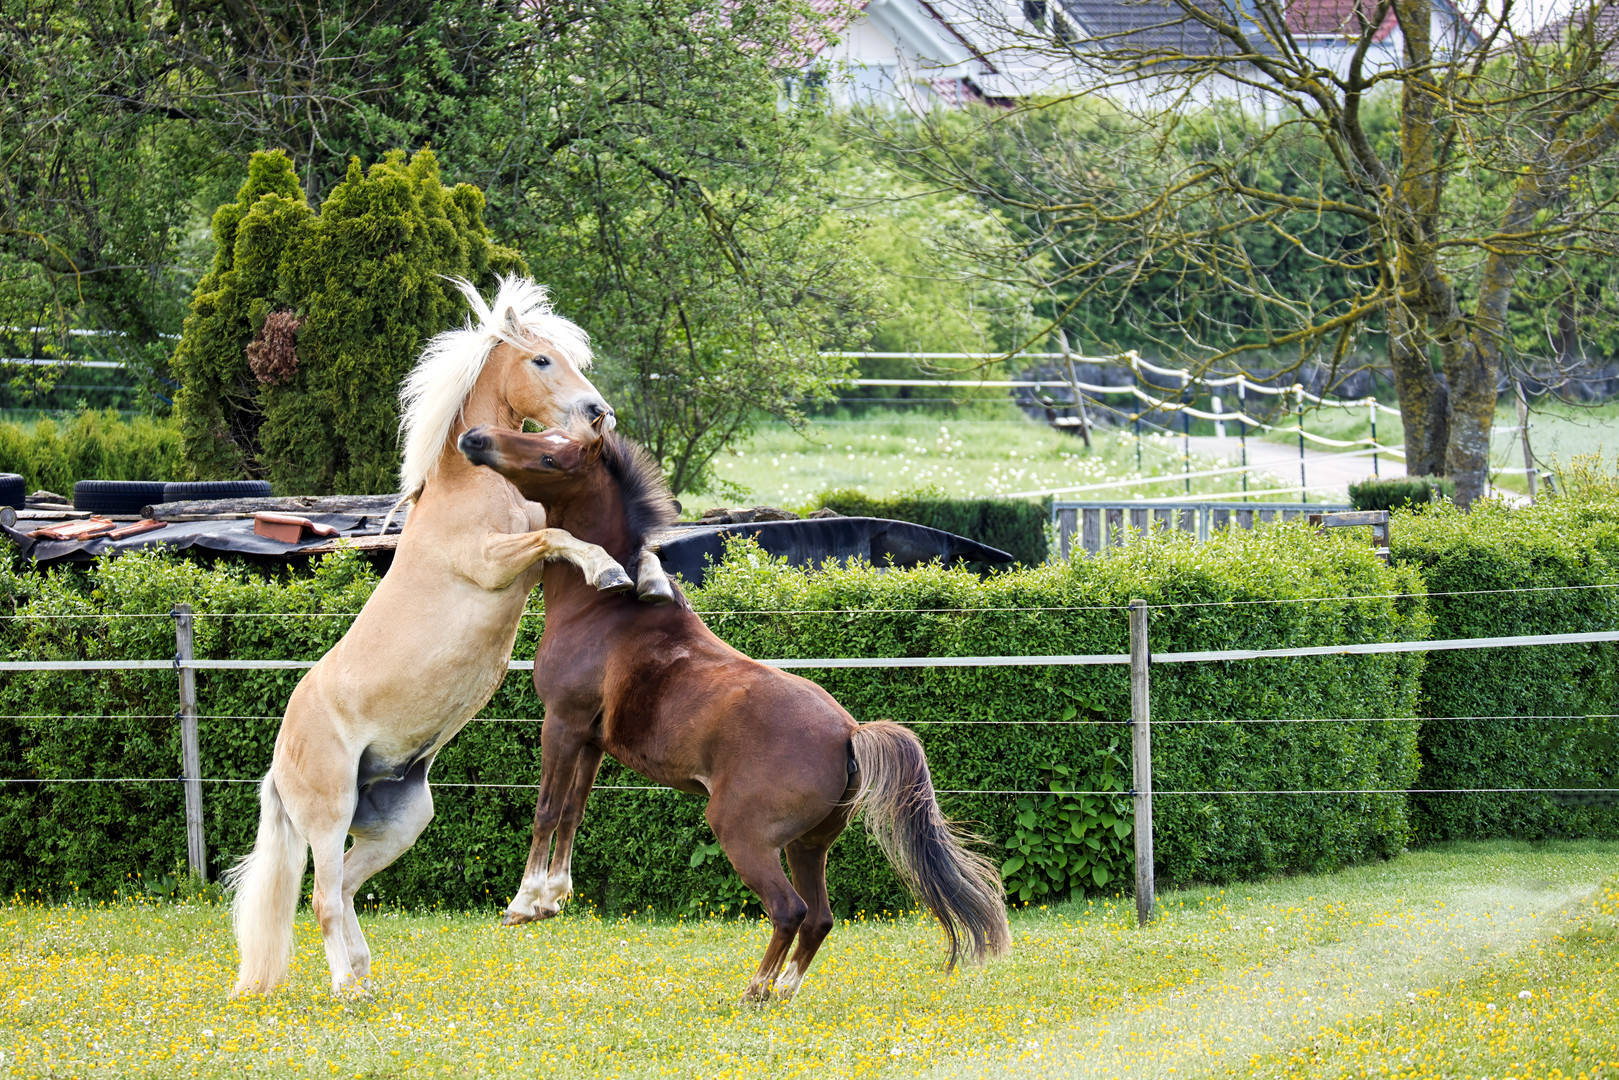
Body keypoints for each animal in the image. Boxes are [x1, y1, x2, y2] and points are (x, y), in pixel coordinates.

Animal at [225, 276, 641, 997]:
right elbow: (559, 537)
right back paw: (346, 989)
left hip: (398, 821)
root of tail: (279, 762)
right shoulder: (495, 561)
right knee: (322, 898)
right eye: (541, 360)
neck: (469, 487)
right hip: (328, 817)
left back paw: (365, 978)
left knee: (347, 888)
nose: (598, 413)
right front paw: (609, 569)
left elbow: (558, 536)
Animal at [459, 424, 1010, 1003]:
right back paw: (782, 992)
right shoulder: (591, 740)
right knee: (820, 918)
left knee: (790, 910)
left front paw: (523, 904)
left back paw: (755, 991)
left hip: (743, 835)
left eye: (551, 457)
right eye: (543, 432)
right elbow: (572, 813)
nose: (475, 438)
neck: (605, 609)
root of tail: (850, 733)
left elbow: (545, 810)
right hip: (807, 846)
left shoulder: (562, 724)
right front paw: (552, 899)